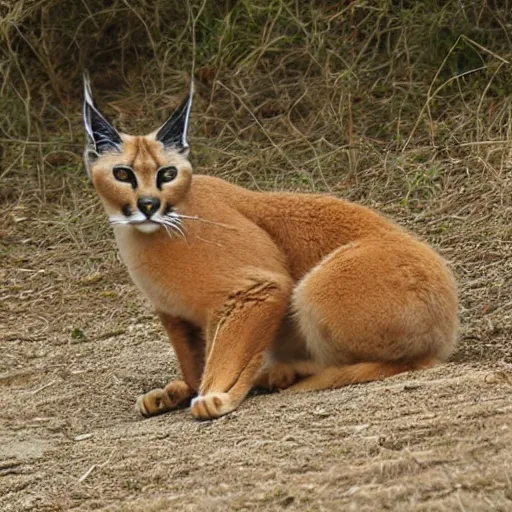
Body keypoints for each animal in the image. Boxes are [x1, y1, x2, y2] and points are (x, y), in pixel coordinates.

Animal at [82, 76, 458, 420]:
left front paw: (215, 396)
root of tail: (449, 318)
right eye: (122, 174)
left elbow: (224, 355)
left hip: (316, 286)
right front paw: (183, 389)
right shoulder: (175, 316)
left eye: (167, 173)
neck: (146, 236)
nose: (148, 204)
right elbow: (195, 359)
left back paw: (281, 374)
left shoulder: (257, 289)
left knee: (397, 361)